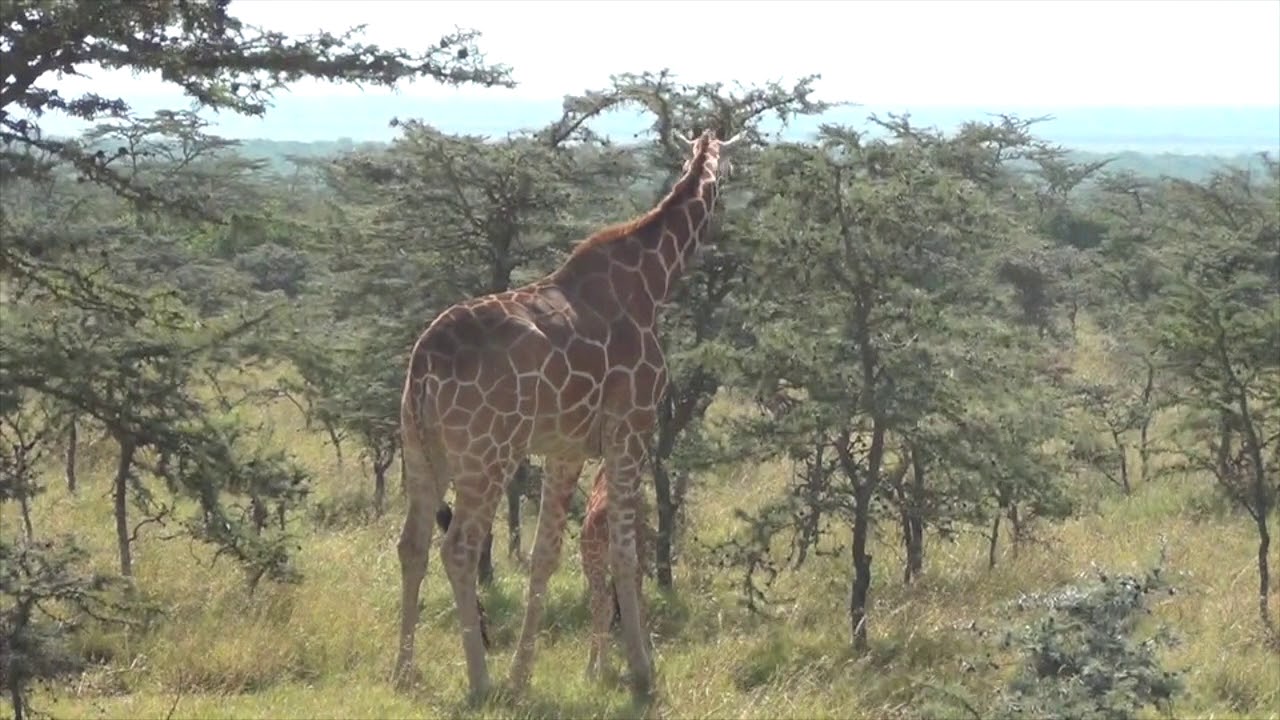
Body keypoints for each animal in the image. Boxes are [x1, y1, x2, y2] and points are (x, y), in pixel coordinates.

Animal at [394, 128, 743, 701]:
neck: (654, 280)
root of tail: (423, 363)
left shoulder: (565, 449)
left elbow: (544, 557)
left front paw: (523, 678)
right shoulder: (631, 428)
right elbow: (626, 553)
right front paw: (641, 672)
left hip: (423, 449)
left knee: (412, 545)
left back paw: (403, 673)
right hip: (488, 453)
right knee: (460, 549)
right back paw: (479, 681)